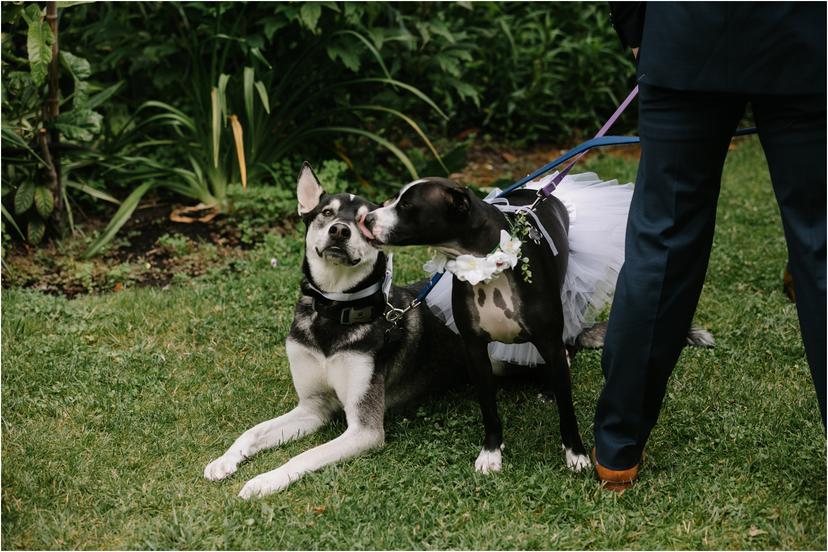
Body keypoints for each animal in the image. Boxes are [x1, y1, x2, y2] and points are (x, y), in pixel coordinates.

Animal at [203, 162, 462, 498]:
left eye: (364, 222)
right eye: (327, 212)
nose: (340, 230)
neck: (334, 310)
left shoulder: (365, 429)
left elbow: (306, 455)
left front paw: (265, 480)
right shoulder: (312, 407)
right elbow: (253, 431)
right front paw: (226, 459)